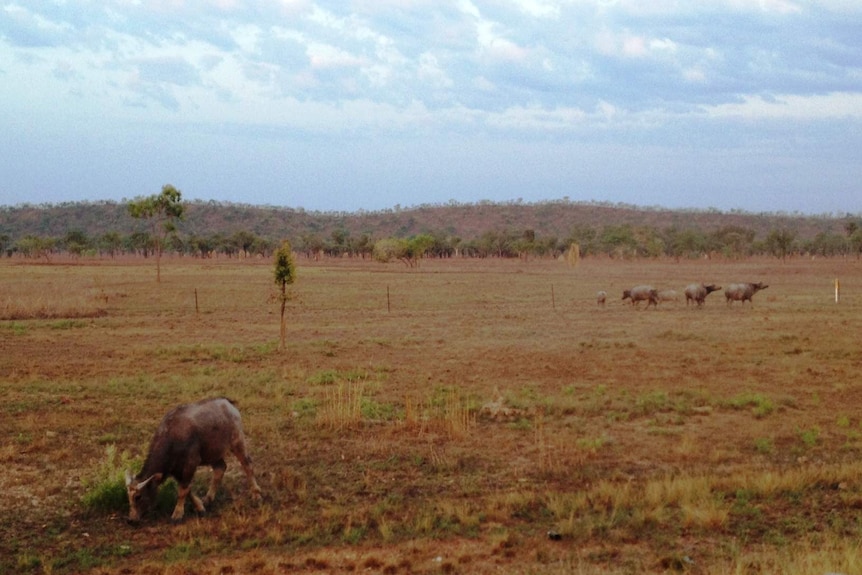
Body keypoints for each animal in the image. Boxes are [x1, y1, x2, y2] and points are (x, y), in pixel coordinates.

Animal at [123, 398, 262, 524]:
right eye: (128, 497)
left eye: (138, 497)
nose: (131, 520)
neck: (172, 437)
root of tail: (228, 403)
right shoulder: (176, 471)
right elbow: (187, 489)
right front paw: (200, 507)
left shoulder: (190, 463)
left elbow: (182, 490)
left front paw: (177, 514)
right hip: (212, 454)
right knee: (220, 468)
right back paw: (208, 498)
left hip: (237, 442)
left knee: (247, 465)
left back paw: (256, 494)